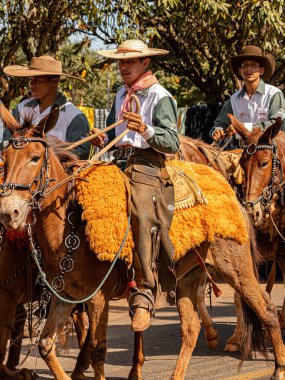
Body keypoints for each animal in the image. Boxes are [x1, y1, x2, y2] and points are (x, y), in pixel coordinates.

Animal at [0, 105, 282, 380]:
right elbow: (45, 345)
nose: (9, 212)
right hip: (189, 276)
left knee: (266, 309)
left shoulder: (97, 297)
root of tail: (232, 194)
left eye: (35, 157)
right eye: (6, 158)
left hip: (236, 268)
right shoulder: (65, 296)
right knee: (191, 328)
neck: (71, 225)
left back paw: (278, 369)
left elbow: (97, 349)